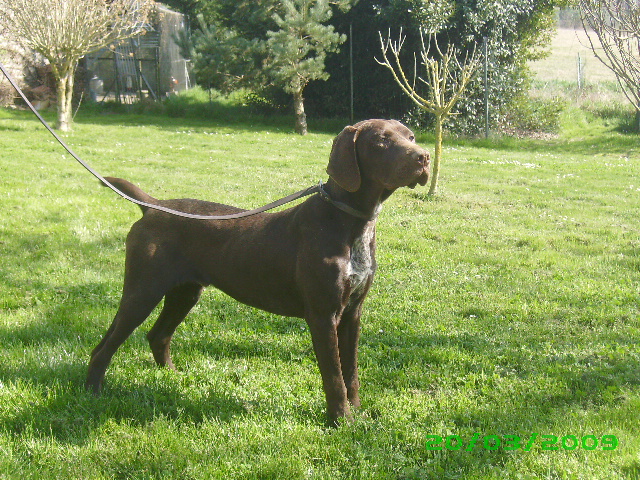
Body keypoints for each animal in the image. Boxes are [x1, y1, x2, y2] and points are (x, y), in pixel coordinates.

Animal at [85, 119, 430, 424]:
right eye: (381, 140)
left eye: (411, 136)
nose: (424, 156)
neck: (350, 223)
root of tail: (152, 207)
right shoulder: (322, 315)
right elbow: (334, 376)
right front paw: (340, 420)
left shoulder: (352, 313)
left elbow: (351, 372)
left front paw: (356, 412)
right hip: (143, 292)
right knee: (104, 346)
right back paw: (92, 393)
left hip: (185, 293)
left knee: (157, 335)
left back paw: (171, 377)